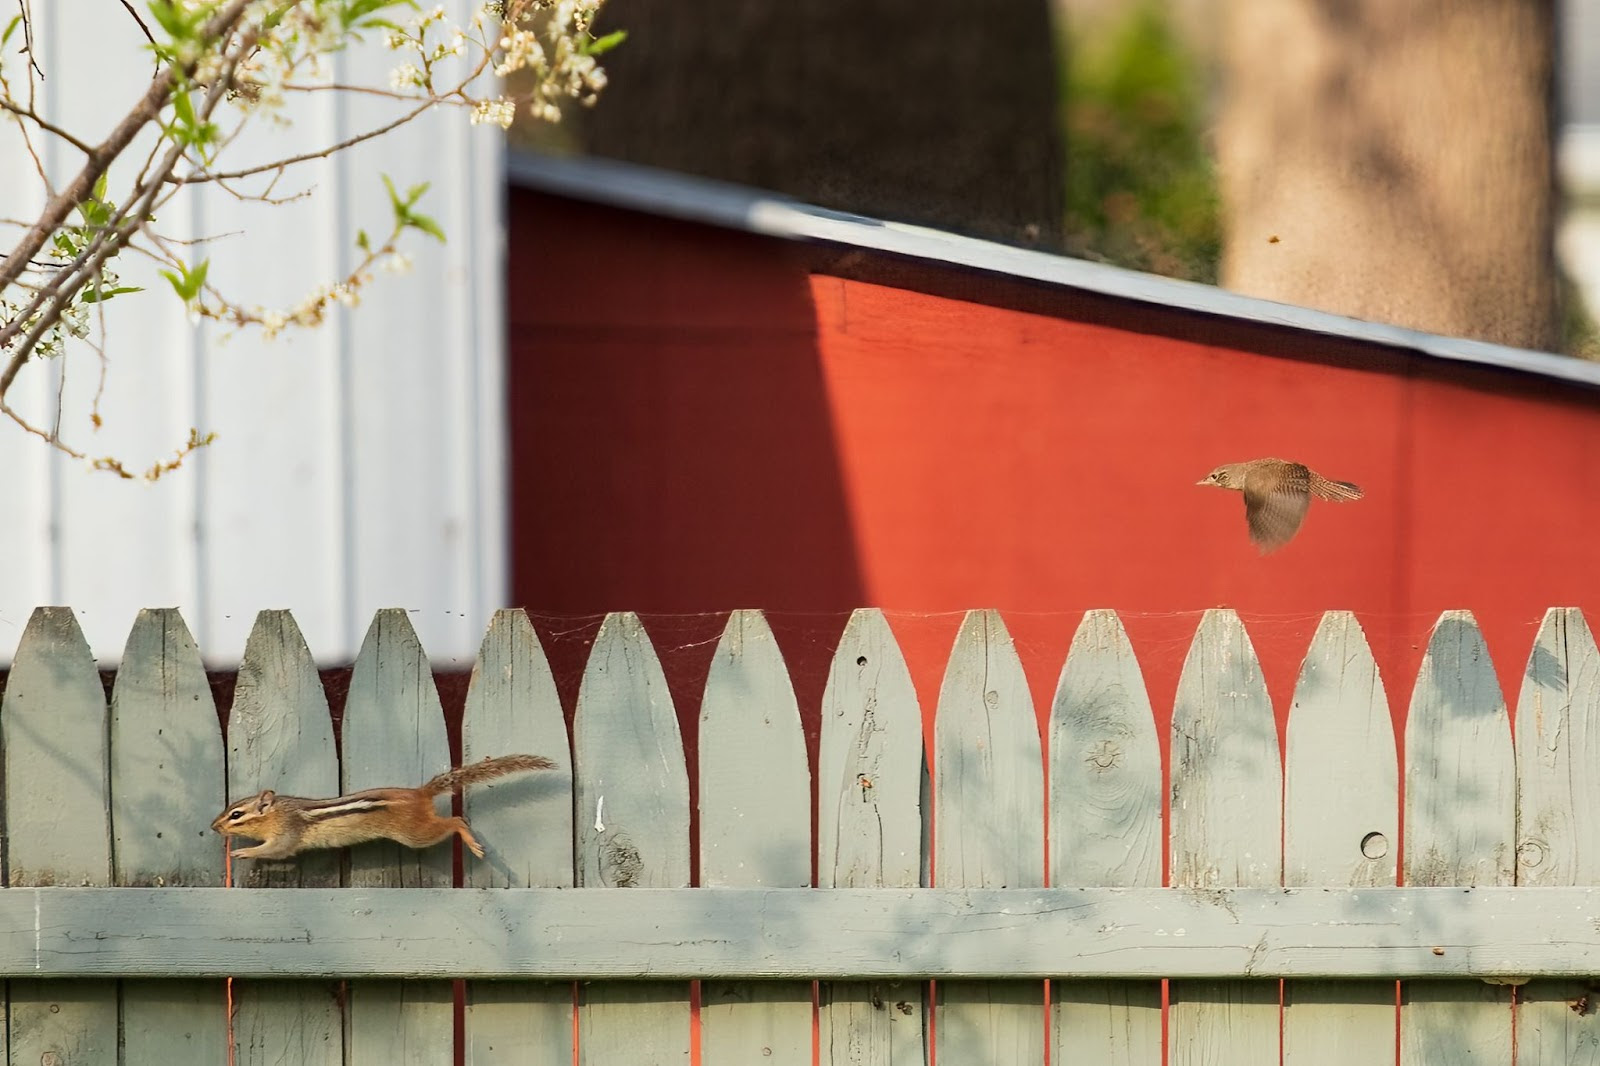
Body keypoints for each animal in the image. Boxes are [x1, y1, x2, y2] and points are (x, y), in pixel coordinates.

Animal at [211, 753, 556, 860]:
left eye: (236, 814)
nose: (214, 827)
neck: (278, 811)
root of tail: (420, 792)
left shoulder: (287, 834)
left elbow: (276, 850)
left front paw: (245, 852)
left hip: (416, 835)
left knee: (456, 820)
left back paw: (471, 842)